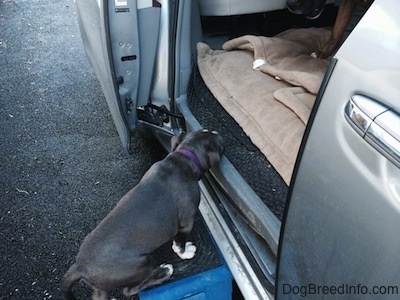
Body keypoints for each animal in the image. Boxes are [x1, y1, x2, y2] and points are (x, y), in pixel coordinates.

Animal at [62, 130, 225, 298]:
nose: (218, 133)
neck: (184, 157)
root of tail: (80, 266)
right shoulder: (186, 221)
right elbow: (179, 244)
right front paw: (186, 253)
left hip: (100, 286)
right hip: (141, 265)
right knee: (130, 289)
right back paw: (163, 272)